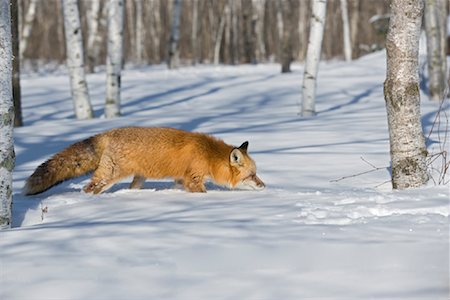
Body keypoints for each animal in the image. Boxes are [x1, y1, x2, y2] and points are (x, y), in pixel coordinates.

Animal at [23, 127, 264, 196]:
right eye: (252, 175)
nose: (264, 185)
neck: (208, 154)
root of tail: (108, 133)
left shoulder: (180, 178)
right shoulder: (193, 178)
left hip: (139, 177)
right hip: (110, 175)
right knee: (89, 188)